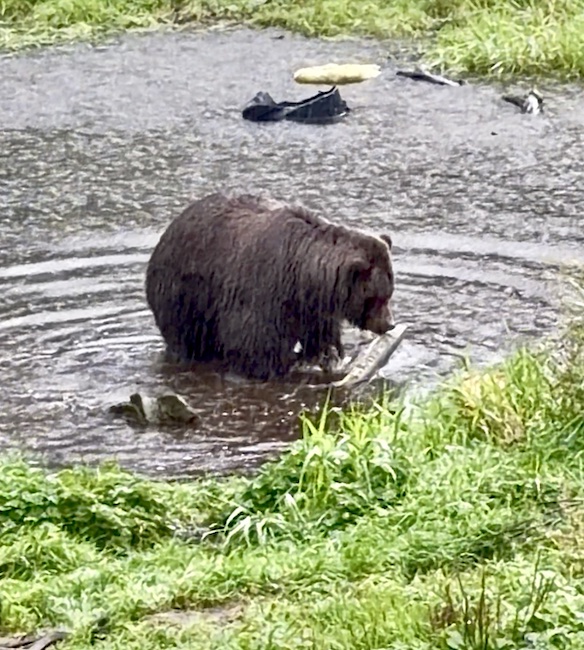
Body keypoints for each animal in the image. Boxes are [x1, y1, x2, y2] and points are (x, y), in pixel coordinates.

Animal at [145, 192, 395, 381]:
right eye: (377, 297)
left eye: (389, 293)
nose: (389, 324)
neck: (303, 277)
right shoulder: (263, 290)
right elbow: (255, 344)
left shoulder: (312, 308)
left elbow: (321, 338)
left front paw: (325, 357)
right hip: (184, 293)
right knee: (186, 337)